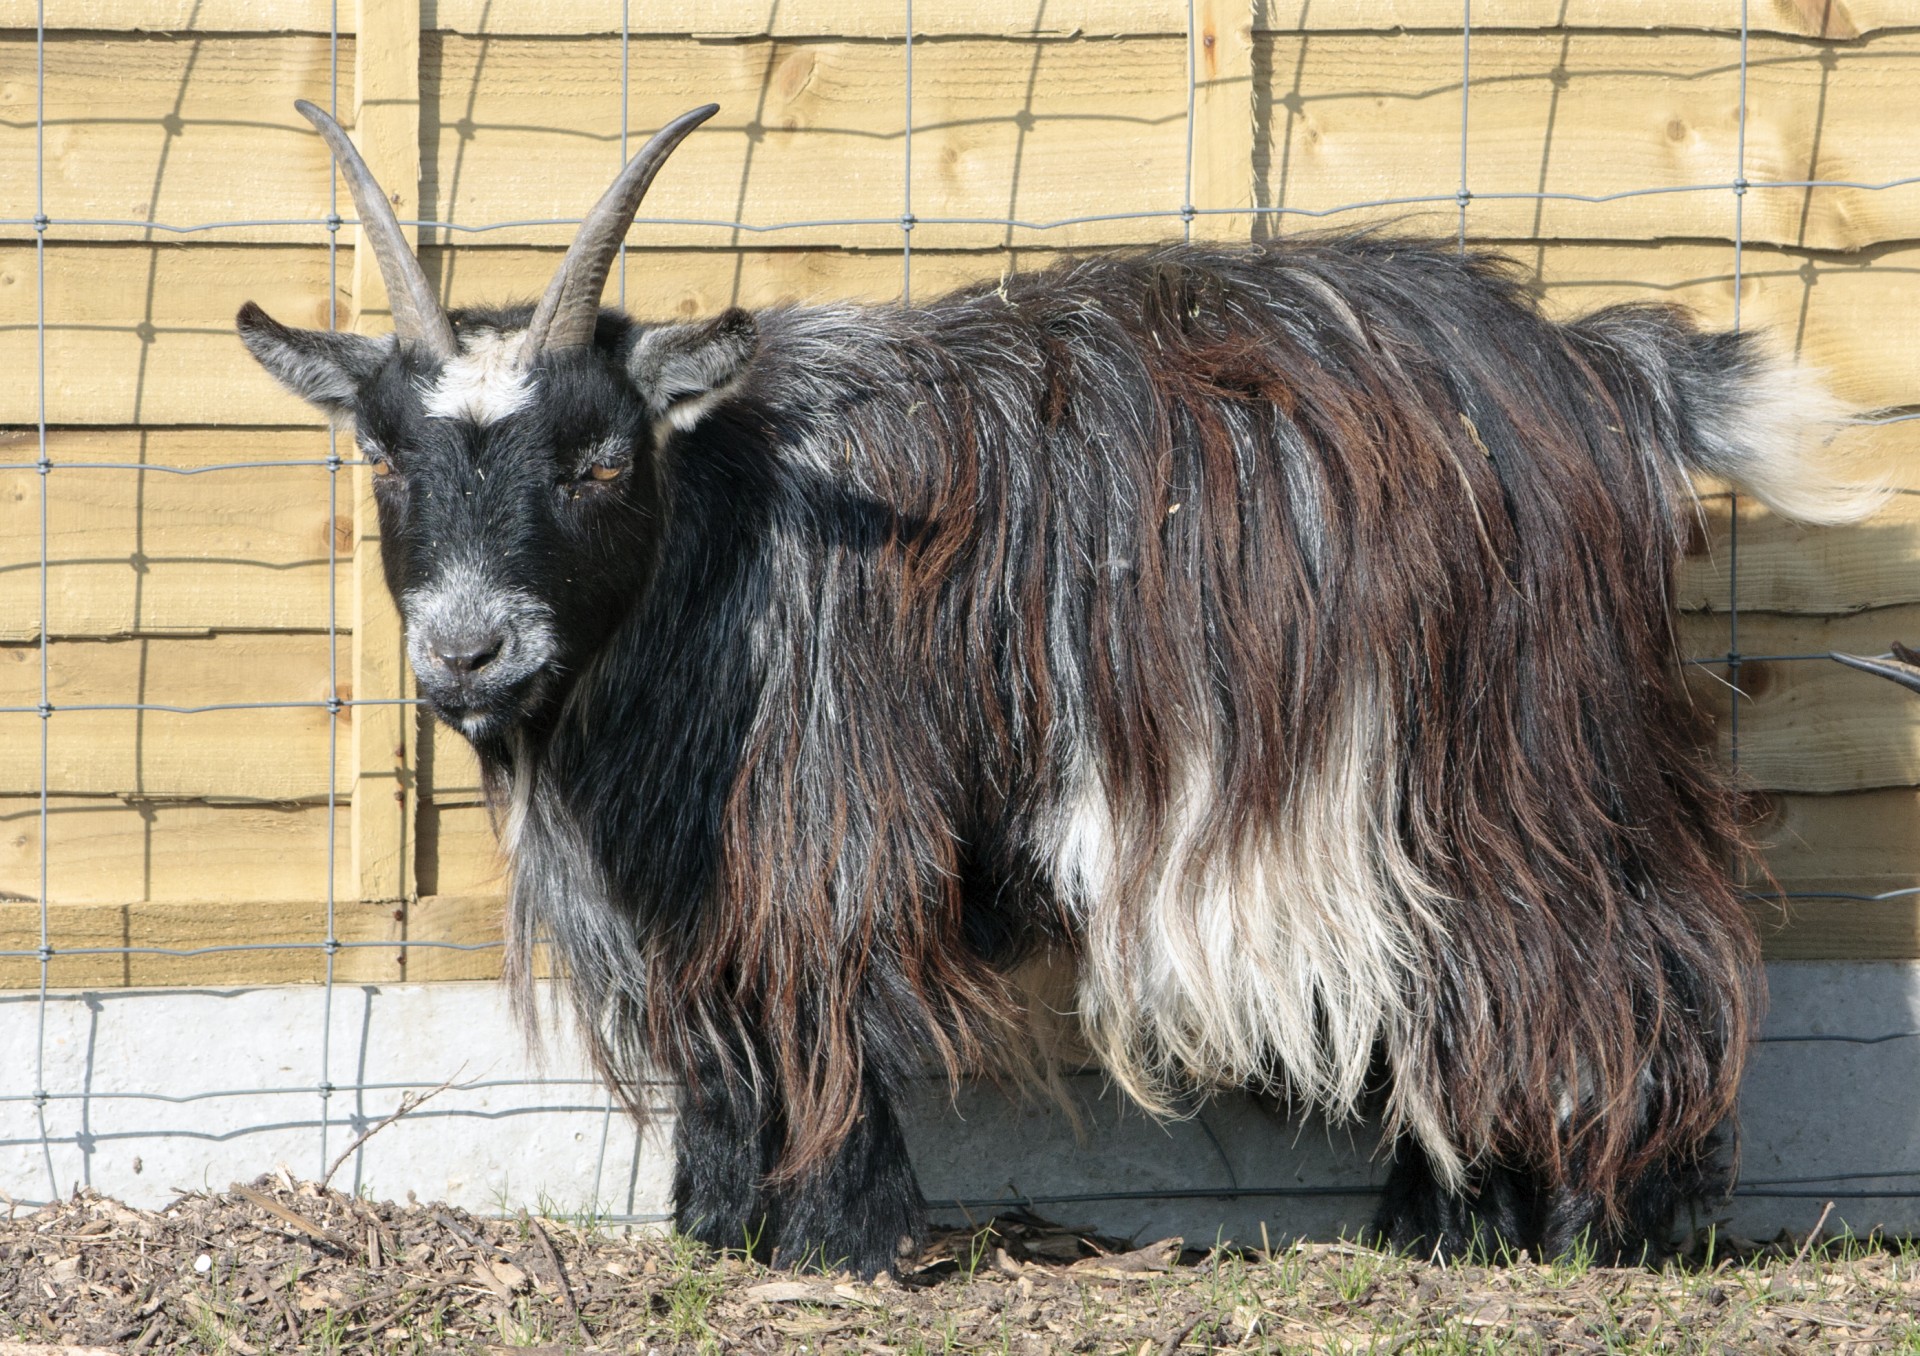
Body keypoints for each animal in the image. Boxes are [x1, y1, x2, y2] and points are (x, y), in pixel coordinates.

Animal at [236, 97, 1873, 1267]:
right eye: (387, 457)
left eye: (596, 460)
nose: (469, 649)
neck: (730, 524)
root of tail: (1603, 371)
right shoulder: (698, 866)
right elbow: (723, 1023)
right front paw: (719, 1225)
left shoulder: (831, 805)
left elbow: (819, 992)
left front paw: (837, 1238)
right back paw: (1457, 1218)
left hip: (1521, 753)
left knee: (1619, 953)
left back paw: (1586, 1228)